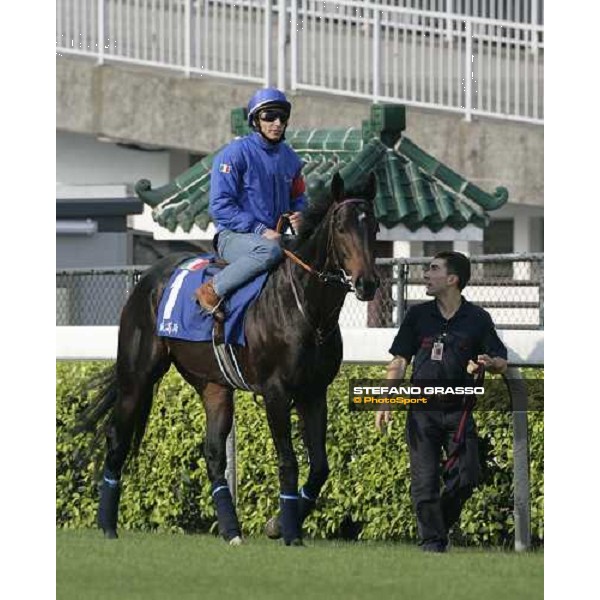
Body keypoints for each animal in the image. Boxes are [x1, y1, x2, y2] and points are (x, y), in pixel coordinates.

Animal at [76, 171, 380, 548]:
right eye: (340, 227)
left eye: (374, 227)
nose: (367, 283)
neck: (305, 309)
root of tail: (148, 277)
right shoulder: (276, 392)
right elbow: (288, 461)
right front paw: (289, 531)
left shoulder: (314, 392)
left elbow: (321, 467)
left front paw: (279, 523)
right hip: (137, 375)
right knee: (117, 438)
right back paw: (107, 524)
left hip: (214, 385)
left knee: (213, 454)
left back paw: (231, 530)